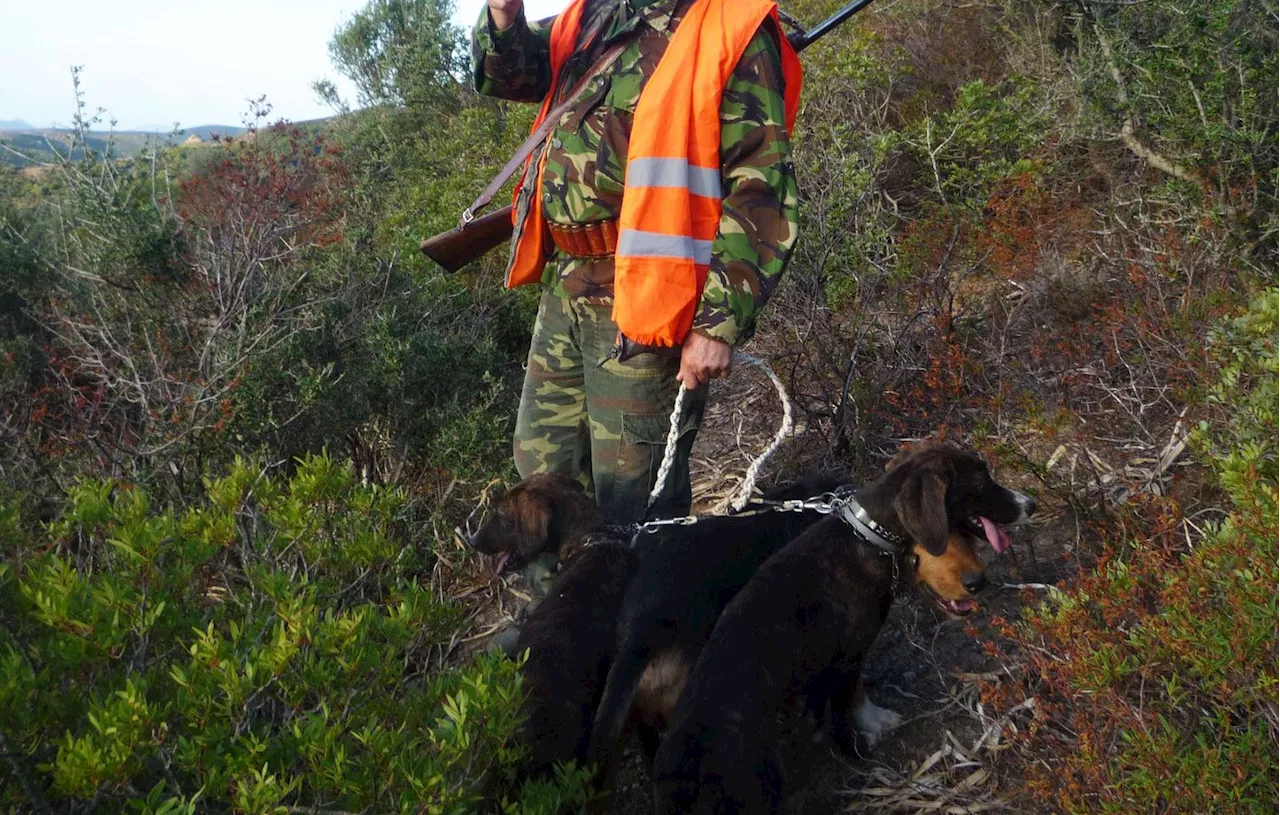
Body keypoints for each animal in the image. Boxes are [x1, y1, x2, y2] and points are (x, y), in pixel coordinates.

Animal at [655, 445, 1034, 813]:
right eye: (981, 481)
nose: (1030, 504)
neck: (868, 538)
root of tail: (682, 767)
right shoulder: (850, 653)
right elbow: (852, 697)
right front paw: (868, 730)